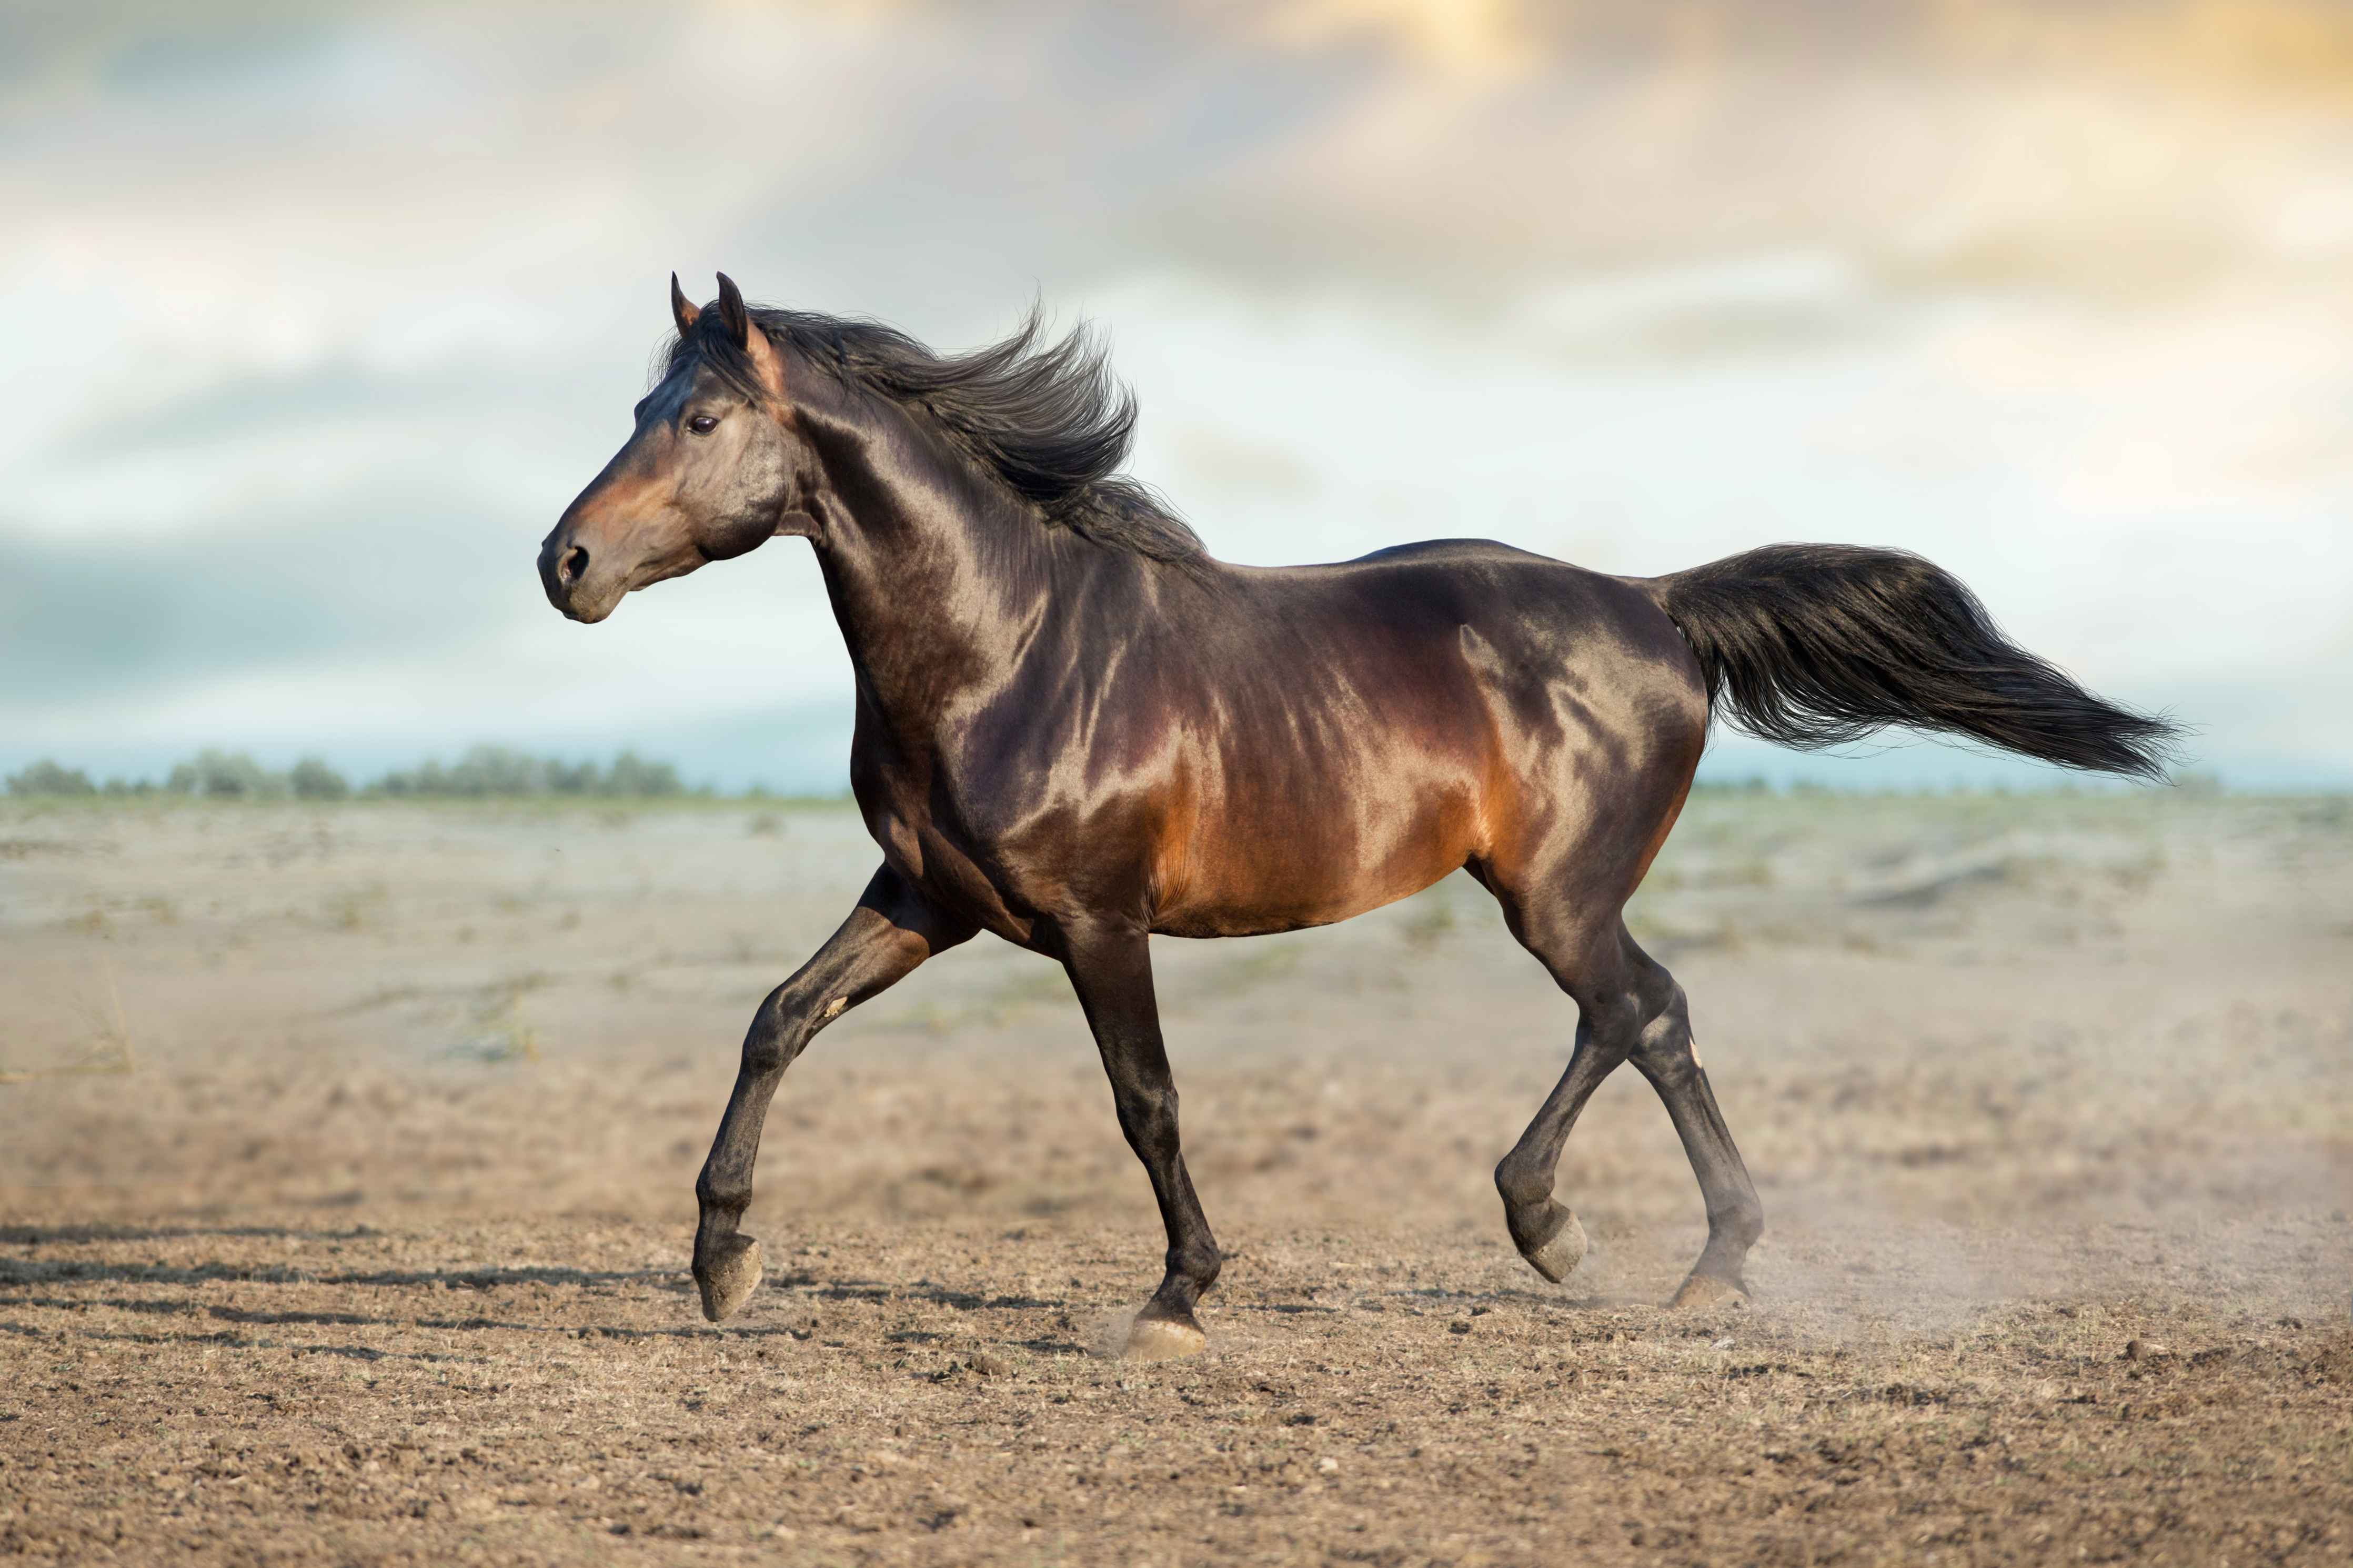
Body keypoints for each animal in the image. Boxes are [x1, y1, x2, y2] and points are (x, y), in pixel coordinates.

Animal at [538, 273, 2177, 1359]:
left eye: (697, 416)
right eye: (637, 407)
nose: (564, 565)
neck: (1007, 645)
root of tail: (1652, 602)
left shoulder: (1096, 922)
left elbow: (1146, 1099)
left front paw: (1179, 1297)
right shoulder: (928, 899)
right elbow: (776, 1019)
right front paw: (724, 1262)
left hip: (1554, 892)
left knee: (1639, 1008)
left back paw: (1630, 1243)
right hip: (1550, 891)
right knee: (1641, 1016)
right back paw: (1626, 1241)